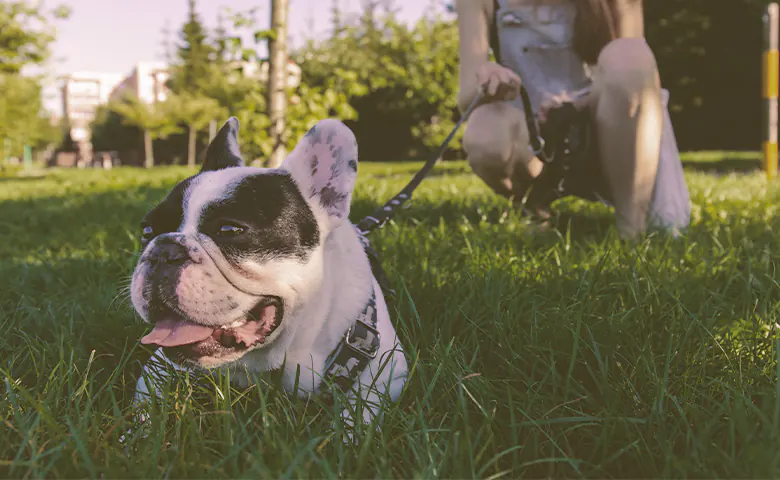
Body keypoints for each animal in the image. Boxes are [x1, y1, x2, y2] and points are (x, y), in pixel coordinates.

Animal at [128, 117, 408, 432]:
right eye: (147, 231)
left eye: (230, 229)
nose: (163, 250)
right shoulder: (158, 367)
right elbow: (143, 407)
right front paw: (134, 435)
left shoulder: (385, 374)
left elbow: (356, 418)